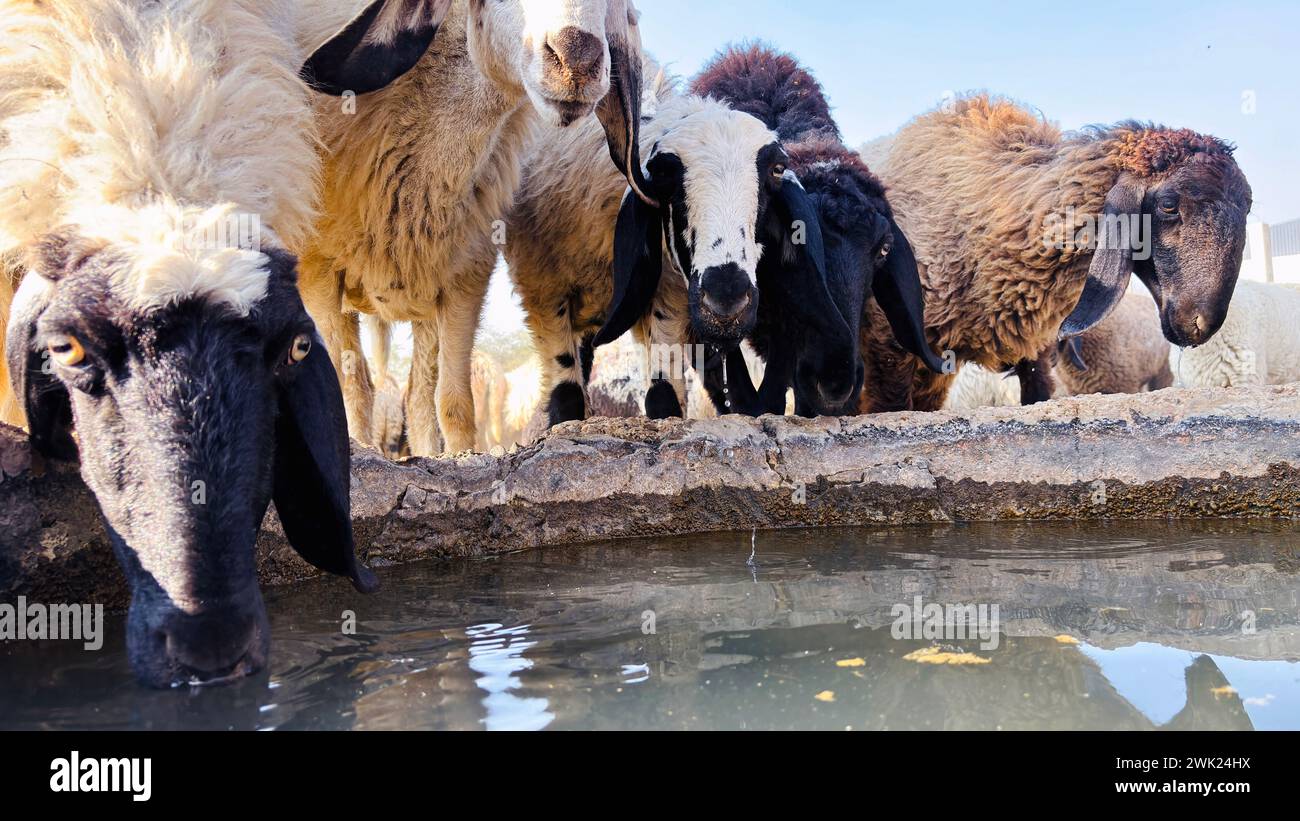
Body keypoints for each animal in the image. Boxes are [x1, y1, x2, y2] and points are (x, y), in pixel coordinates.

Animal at [299, 0, 655, 454]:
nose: (577, 60)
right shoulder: (318, 273)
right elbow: (350, 389)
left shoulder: (465, 278)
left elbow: (452, 402)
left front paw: (460, 457)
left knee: (418, 396)